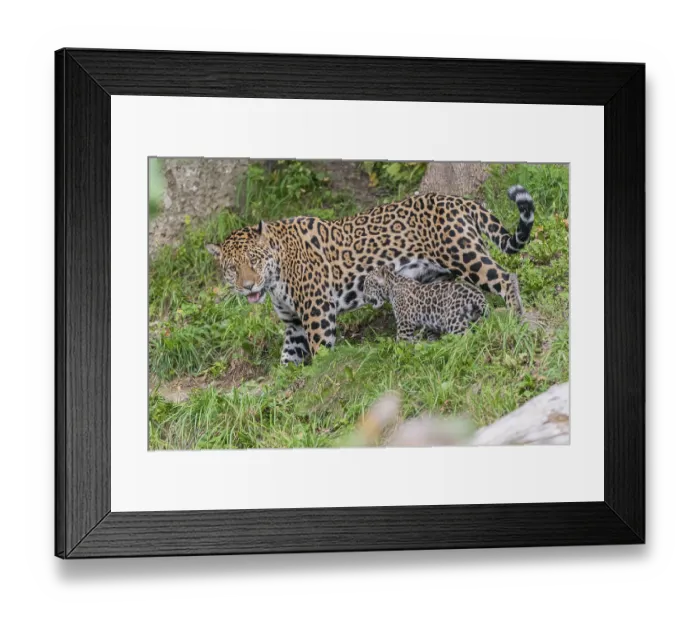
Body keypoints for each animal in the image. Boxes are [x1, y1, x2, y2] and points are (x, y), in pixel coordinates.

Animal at [206, 184, 534, 365]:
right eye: (232, 269)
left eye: (254, 260)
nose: (248, 287)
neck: (275, 275)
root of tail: (460, 200)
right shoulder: (294, 323)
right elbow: (290, 356)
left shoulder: (317, 310)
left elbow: (320, 350)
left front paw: (320, 373)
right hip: (436, 277)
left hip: (464, 255)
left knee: (506, 278)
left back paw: (517, 319)